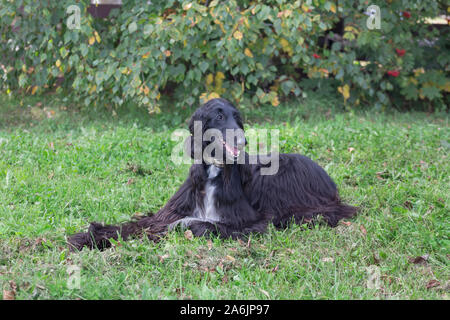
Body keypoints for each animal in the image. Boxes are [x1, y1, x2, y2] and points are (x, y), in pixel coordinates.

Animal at [68, 97, 356, 250]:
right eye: (218, 116)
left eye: (238, 118)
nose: (243, 140)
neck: (215, 172)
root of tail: (329, 180)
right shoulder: (169, 212)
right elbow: (136, 224)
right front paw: (89, 236)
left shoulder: (251, 221)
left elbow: (204, 224)